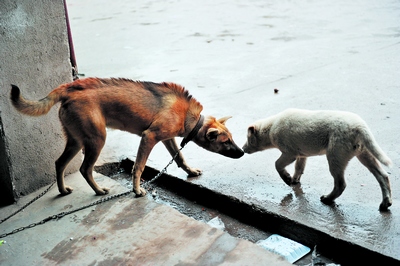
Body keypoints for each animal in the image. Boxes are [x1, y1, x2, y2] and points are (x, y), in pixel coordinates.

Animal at [10, 77, 244, 195]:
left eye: (232, 138)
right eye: (226, 142)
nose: (242, 153)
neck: (191, 118)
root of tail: (69, 88)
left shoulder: (167, 138)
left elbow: (180, 157)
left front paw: (191, 171)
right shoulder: (149, 137)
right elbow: (138, 166)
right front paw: (137, 190)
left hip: (76, 141)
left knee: (59, 163)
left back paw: (63, 190)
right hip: (96, 140)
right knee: (85, 169)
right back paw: (99, 191)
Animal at [242, 109, 392, 211]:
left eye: (248, 138)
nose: (243, 149)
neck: (271, 127)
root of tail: (359, 126)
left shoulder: (289, 153)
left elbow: (277, 164)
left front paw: (287, 178)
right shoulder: (301, 154)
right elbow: (299, 168)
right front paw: (294, 180)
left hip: (335, 154)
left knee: (340, 184)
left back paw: (327, 199)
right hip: (364, 153)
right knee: (383, 176)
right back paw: (385, 203)